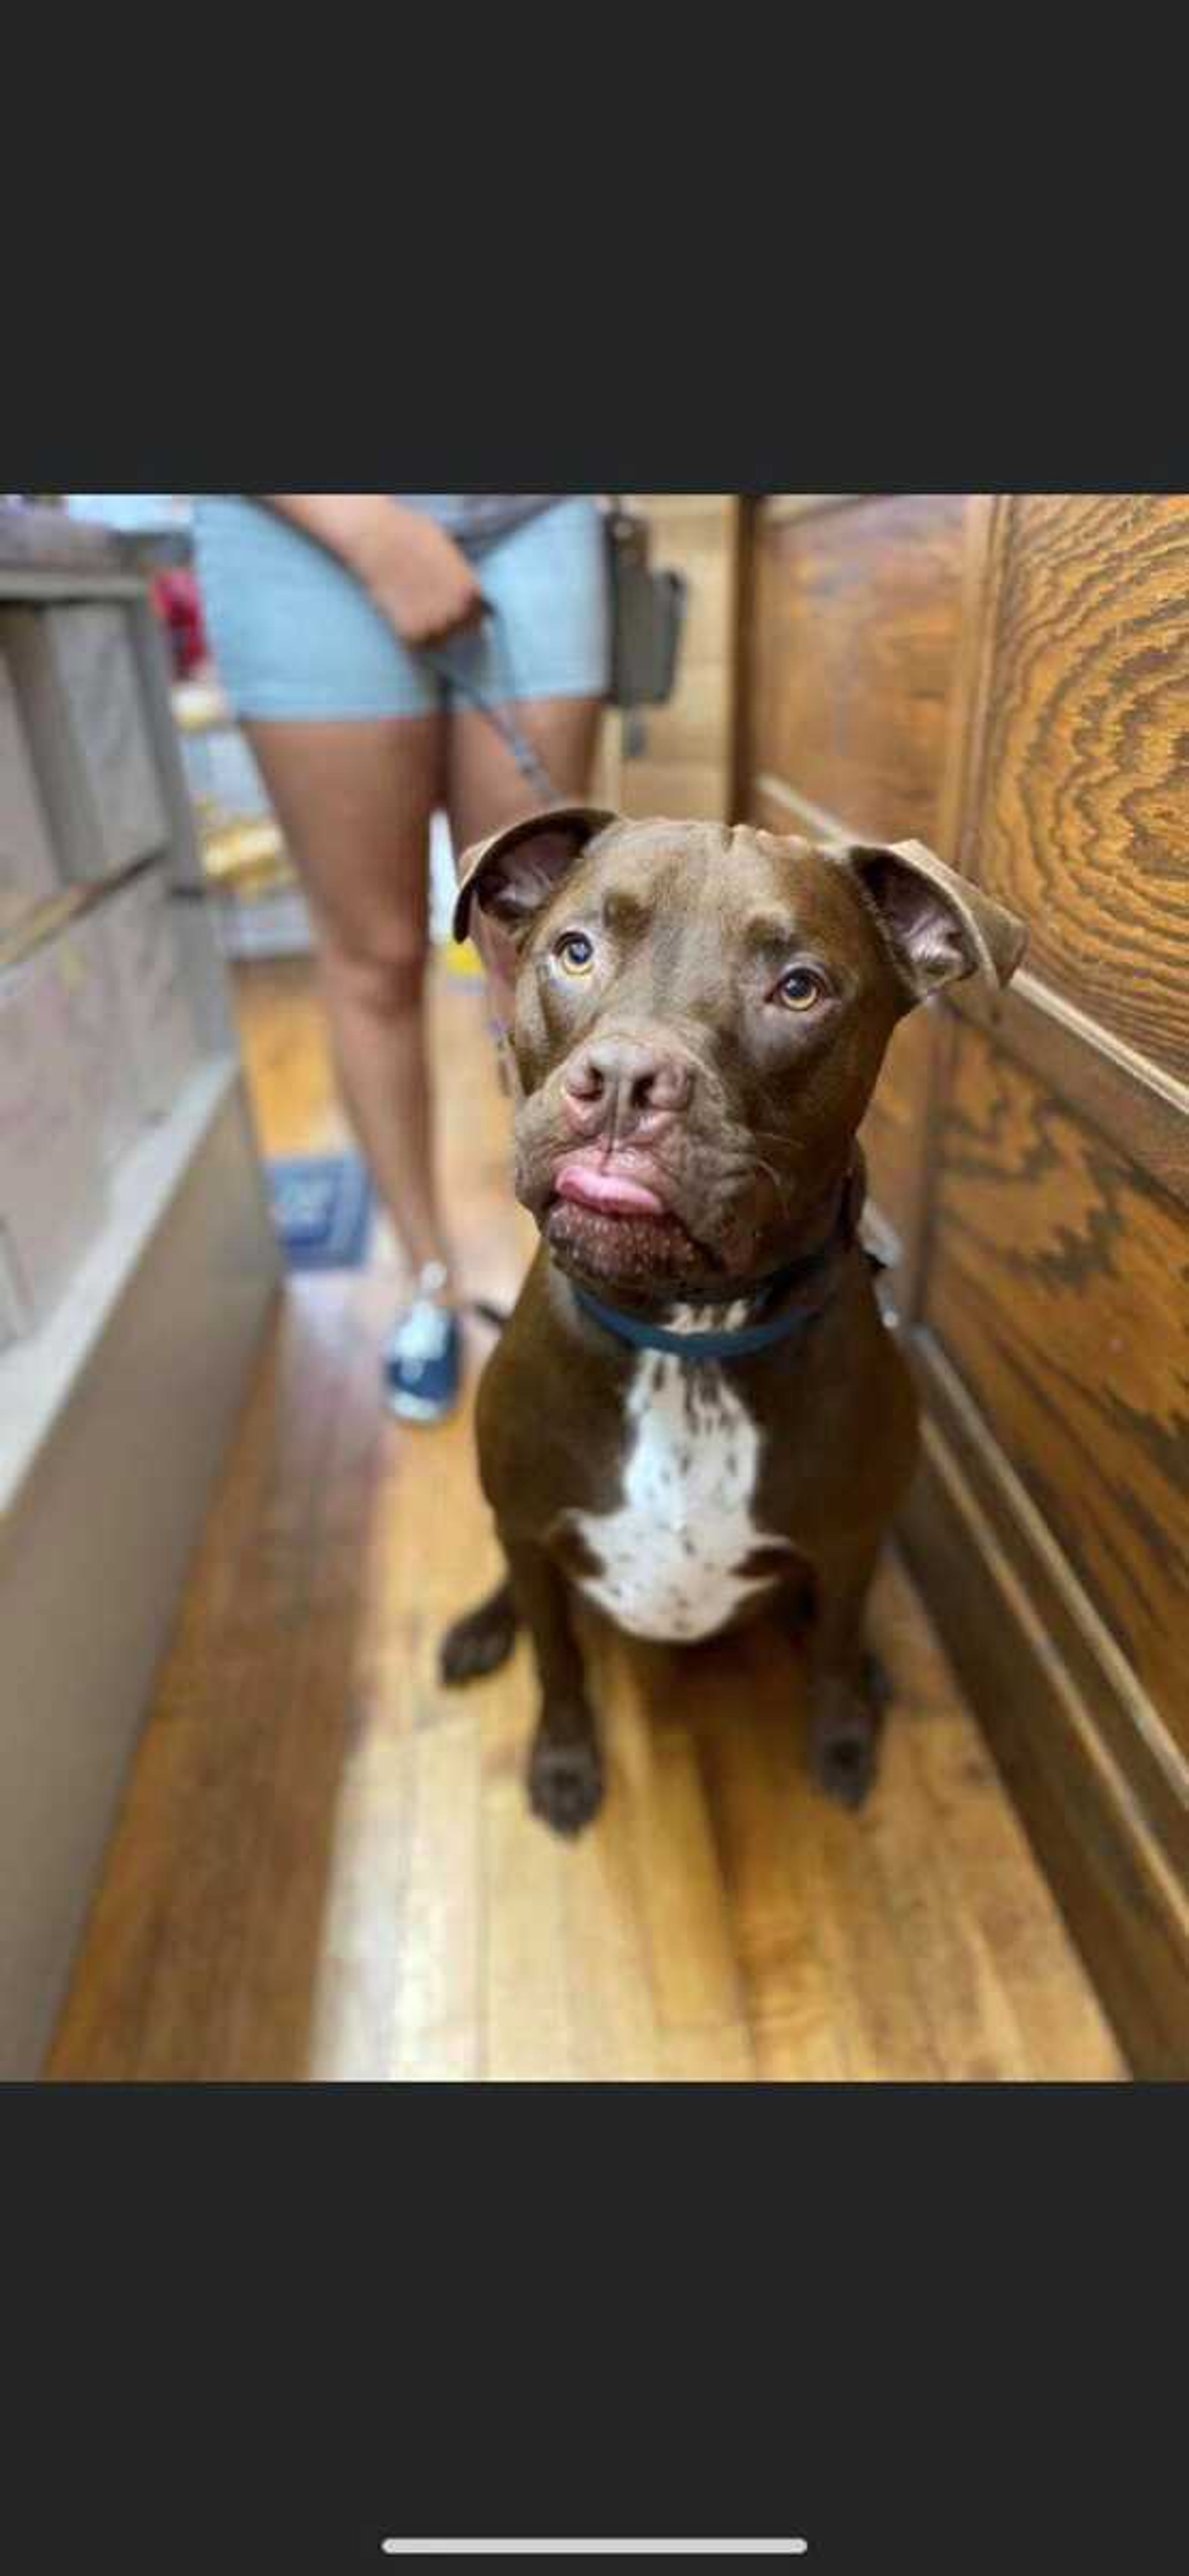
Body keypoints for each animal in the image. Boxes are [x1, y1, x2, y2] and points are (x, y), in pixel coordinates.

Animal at [437, 804, 1024, 1834]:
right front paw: (563, 1760)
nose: (626, 1078)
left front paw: (842, 1736)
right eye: (576, 951)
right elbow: (557, 1663)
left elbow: (830, 1651)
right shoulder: (529, 1521)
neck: (690, 1338)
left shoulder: (848, 1540)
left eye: (798, 989)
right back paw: (481, 1625)